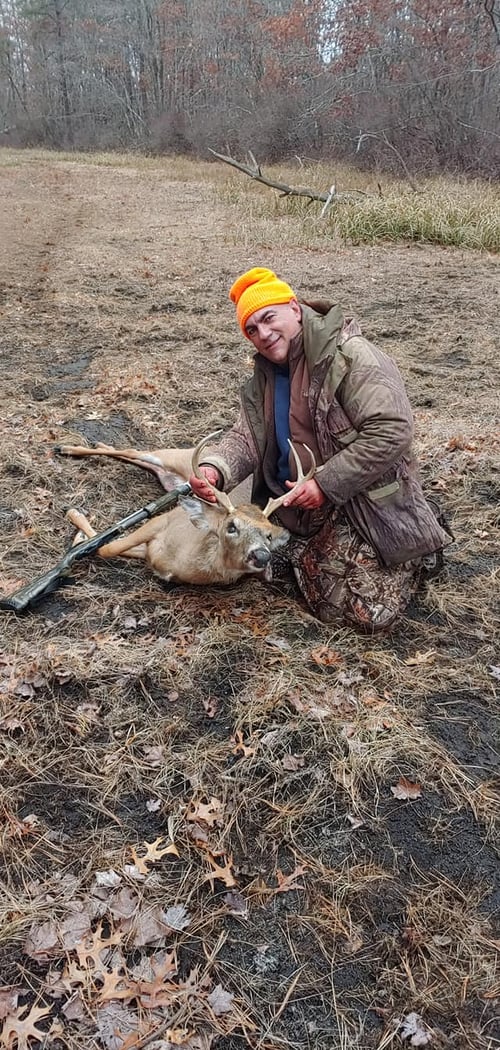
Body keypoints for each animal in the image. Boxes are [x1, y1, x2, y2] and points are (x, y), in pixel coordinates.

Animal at [56, 433, 316, 587]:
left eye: (269, 536)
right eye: (232, 526)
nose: (261, 555)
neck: (178, 559)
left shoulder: (149, 550)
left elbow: (108, 548)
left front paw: (79, 536)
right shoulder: (162, 520)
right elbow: (108, 547)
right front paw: (75, 518)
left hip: (169, 475)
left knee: (139, 459)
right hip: (176, 457)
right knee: (135, 452)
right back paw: (68, 448)